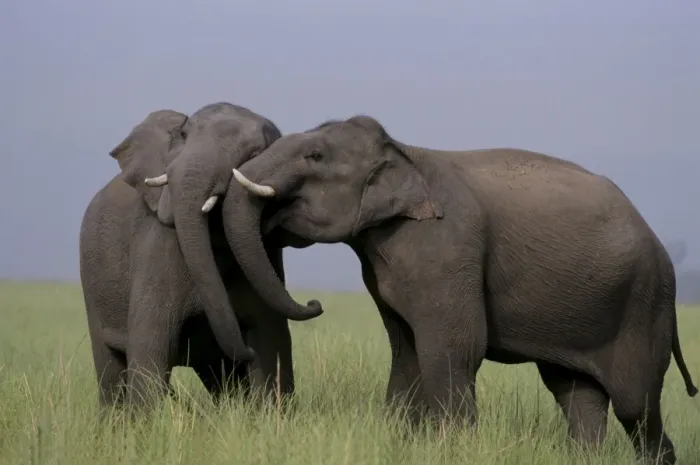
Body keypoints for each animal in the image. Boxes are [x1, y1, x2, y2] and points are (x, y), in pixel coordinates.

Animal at [79, 103, 322, 411]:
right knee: (109, 370)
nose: (314, 303)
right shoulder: (160, 247)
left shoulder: (266, 259)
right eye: (183, 134)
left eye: (255, 154)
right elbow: (151, 344)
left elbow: (270, 337)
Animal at [218, 115, 697, 464]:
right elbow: (406, 350)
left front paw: (455, 451)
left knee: (636, 404)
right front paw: (399, 442)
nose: (315, 303)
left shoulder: (447, 249)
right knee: (575, 392)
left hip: (645, 302)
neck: (403, 152)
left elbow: (454, 350)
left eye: (315, 156)